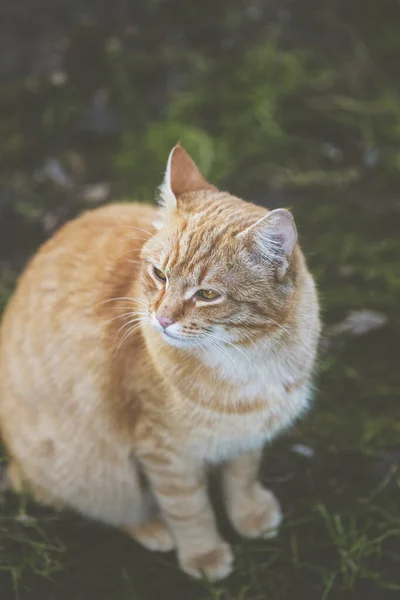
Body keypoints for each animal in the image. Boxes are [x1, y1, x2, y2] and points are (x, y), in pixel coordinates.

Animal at [0, 146, 320, 580]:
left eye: (207, 294)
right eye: (159, 274)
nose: (162, 318)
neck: (249, 357)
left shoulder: (248, 435)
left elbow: (242, 475)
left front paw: (249, 514)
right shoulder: (165, 453)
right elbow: (189, 507)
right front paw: (203, 554)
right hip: (89, 467)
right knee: (104, 503)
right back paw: (153, 528)